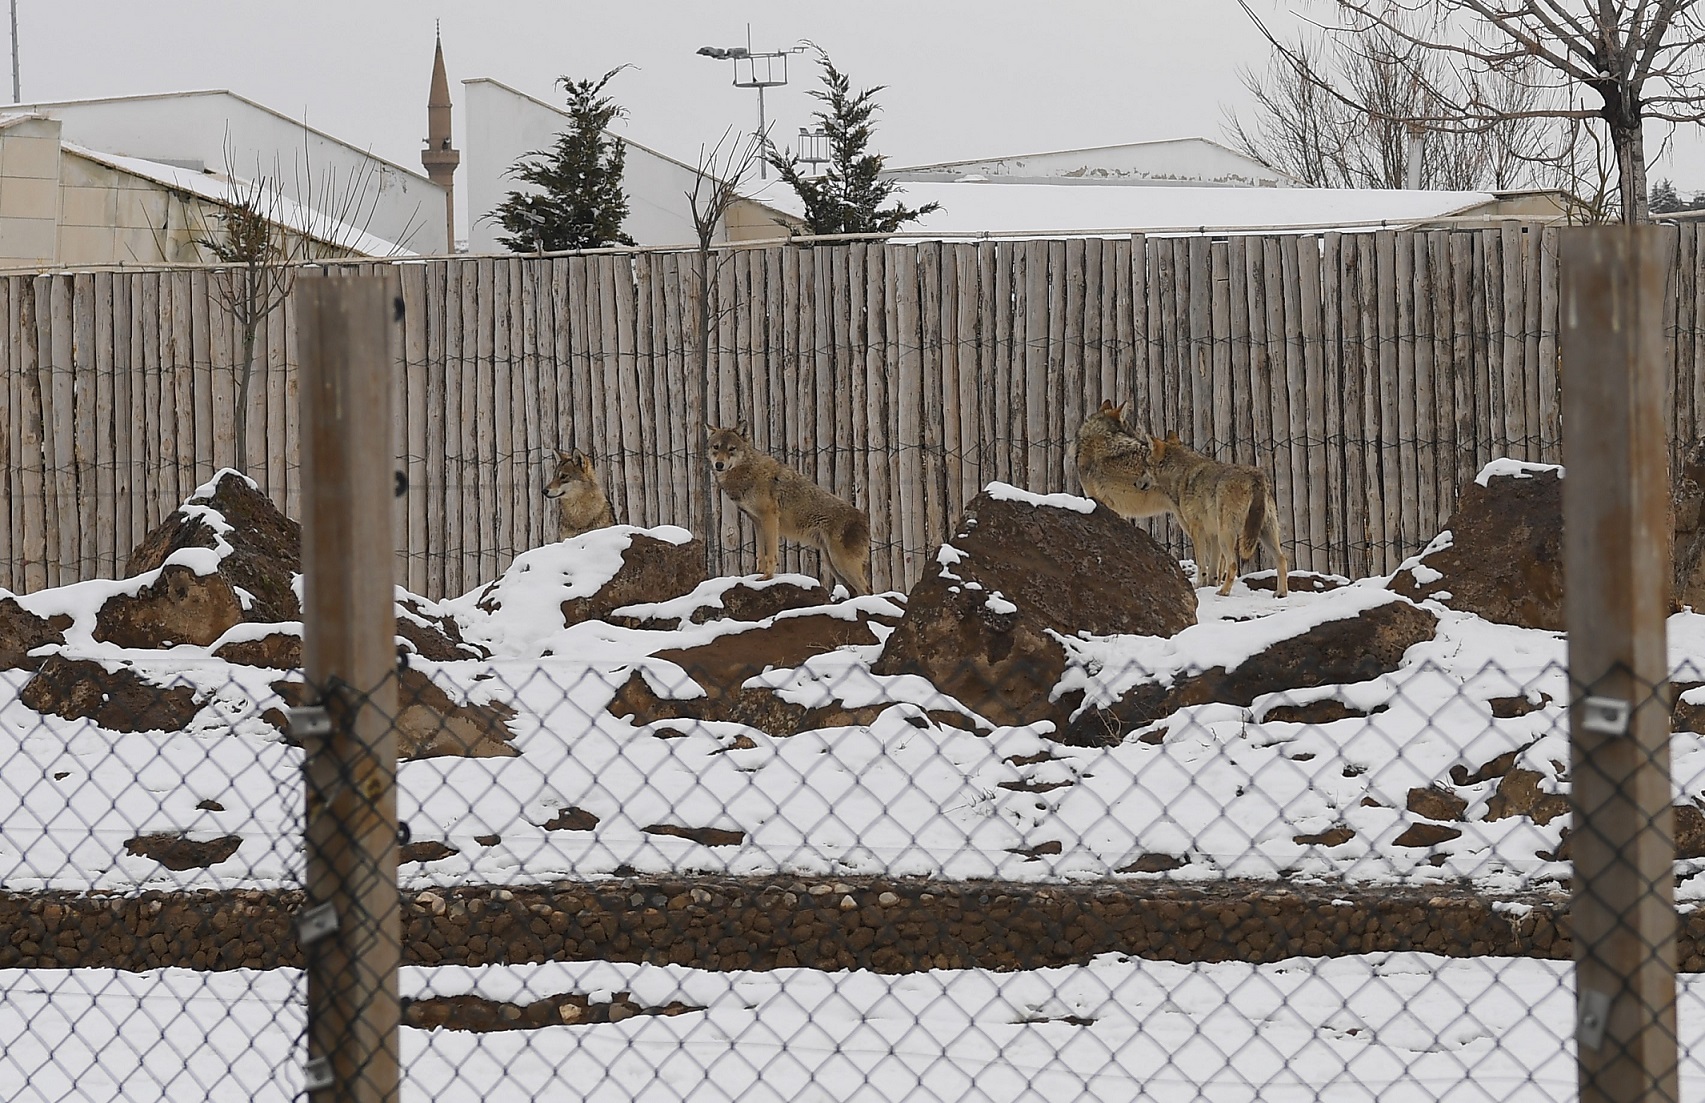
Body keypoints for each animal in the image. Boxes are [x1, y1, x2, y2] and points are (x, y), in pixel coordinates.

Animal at [705, 424, 872, 600]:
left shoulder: (769, 518)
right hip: (833, 564)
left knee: (866, 590)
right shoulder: (757, 522)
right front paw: (757, 574)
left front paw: (767, 577)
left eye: (732, 449)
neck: (748, 473)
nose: (719, 465)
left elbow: (771, 553)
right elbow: (760, 554)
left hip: (841, 563)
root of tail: (864, 518)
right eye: (716, 447)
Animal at [1138, 433, 1282, 600]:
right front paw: (1211, 584)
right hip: (1263, 534)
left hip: (1226, 536)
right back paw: (1281, 593)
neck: (1181, 473)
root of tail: (1256, 476)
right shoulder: (1212, 534)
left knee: (1233, 564)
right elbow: (1213, 568)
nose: (1136, 483)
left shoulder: (1197, 530)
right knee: (1282, 559)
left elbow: (1202, 565)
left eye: (1145, 466)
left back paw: (1223, 592)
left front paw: (1199, 585)